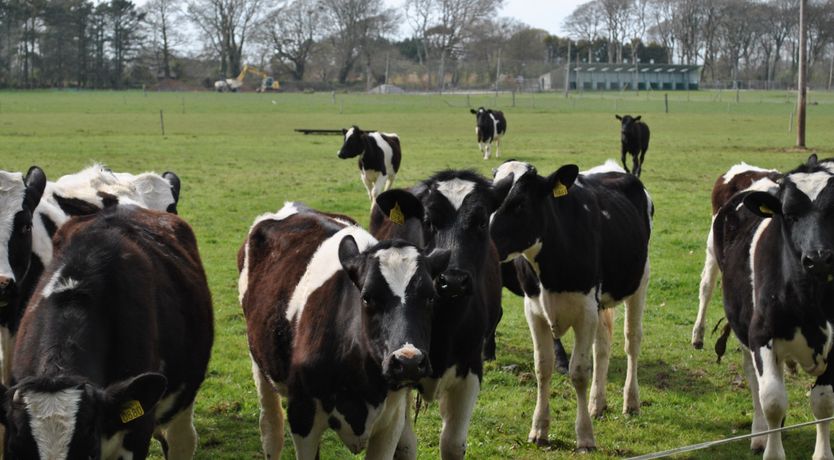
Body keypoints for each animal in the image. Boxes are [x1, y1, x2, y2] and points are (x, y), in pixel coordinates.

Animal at [374, 171, 504, 458]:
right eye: (428, 221)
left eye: (481, 222)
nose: (452, 281)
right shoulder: (399, 368)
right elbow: (404, 444)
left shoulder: (471, 367)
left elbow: (453, 443)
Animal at [488, 160, 648, 452]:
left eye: (520, 203)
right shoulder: (534, 311)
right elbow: (543, 368)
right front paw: (539, 429)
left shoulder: (586, 312)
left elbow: (579, 372)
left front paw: (585, 436)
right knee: (602, 346)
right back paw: (597, 404)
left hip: (639, 281)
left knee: (632, 340)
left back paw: (631, 402)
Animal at [712, 155, 834, 460]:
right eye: (789, 214)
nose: (818, 258)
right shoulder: (761, 337)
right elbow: (773, 401)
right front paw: (772, 449)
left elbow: (824, 402)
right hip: (745, 333)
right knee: (755, 383)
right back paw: (759, 435)